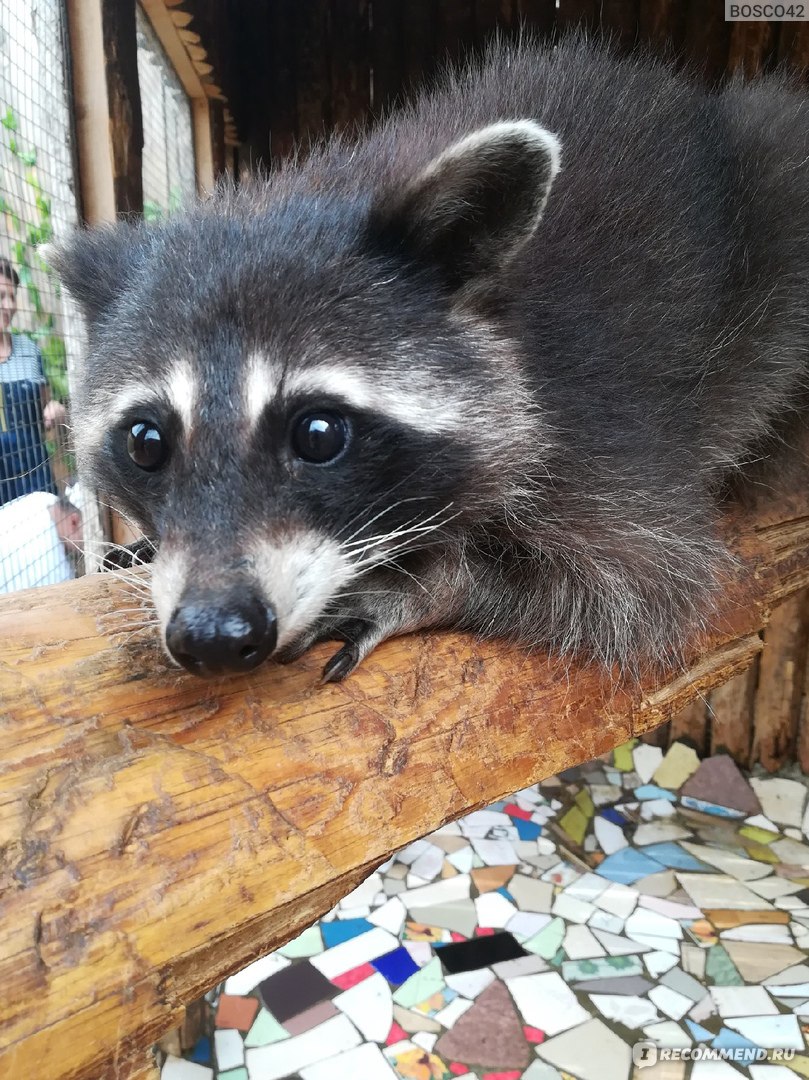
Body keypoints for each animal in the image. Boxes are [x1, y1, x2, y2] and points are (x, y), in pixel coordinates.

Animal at [52, 38, 807, 678]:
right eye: (146, 442)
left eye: (318, 434)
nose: (212, 634)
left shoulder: (599, 437)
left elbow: (638, 586)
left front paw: (433, 581)